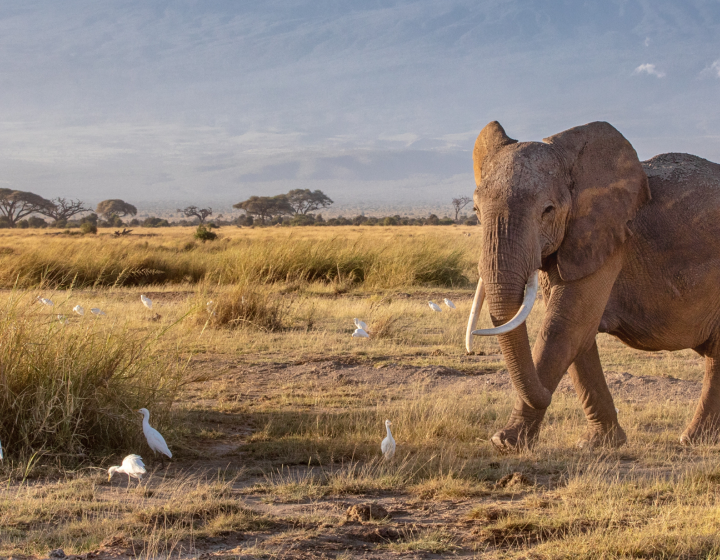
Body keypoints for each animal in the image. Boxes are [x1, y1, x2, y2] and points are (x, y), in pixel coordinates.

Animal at [464, 119, 720, 450]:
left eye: (548, 210)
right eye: (476, 212)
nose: (546, 398)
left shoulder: (610, 241)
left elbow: (565, 326)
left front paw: (504, 442)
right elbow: (580, 336)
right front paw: (601, 443)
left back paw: (692, 439)